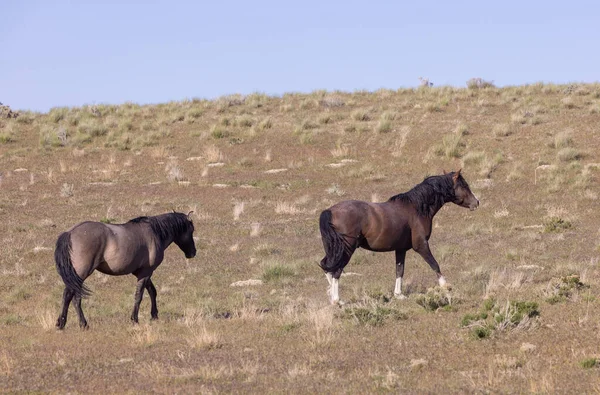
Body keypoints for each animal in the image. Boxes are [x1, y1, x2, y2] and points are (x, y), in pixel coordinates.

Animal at [53, 212, 195, 330]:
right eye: (191, 230)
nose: (193, 253)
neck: (154, 233)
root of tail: (70, 232)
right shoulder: (146, 273)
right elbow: (139, 296)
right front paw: (134, 319)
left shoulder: (143, 273)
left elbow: (152, 292)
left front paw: (154, 315)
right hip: (80, 275)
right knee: (73, 297)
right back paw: (79, 324)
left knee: (70, 297)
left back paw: (65, 323)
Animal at [318, 169, 478, 304]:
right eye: (464, 185)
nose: (477, 202)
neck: (417, 208)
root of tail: (329, 211)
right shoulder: (421, 245)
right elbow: (434, 264)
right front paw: (445, 286)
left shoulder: (401, 249)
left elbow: (399, 270)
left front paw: (398, 294)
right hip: (346, 250)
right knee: (336, 271)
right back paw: (337, 300)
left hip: (333, 250)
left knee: (327, 267)